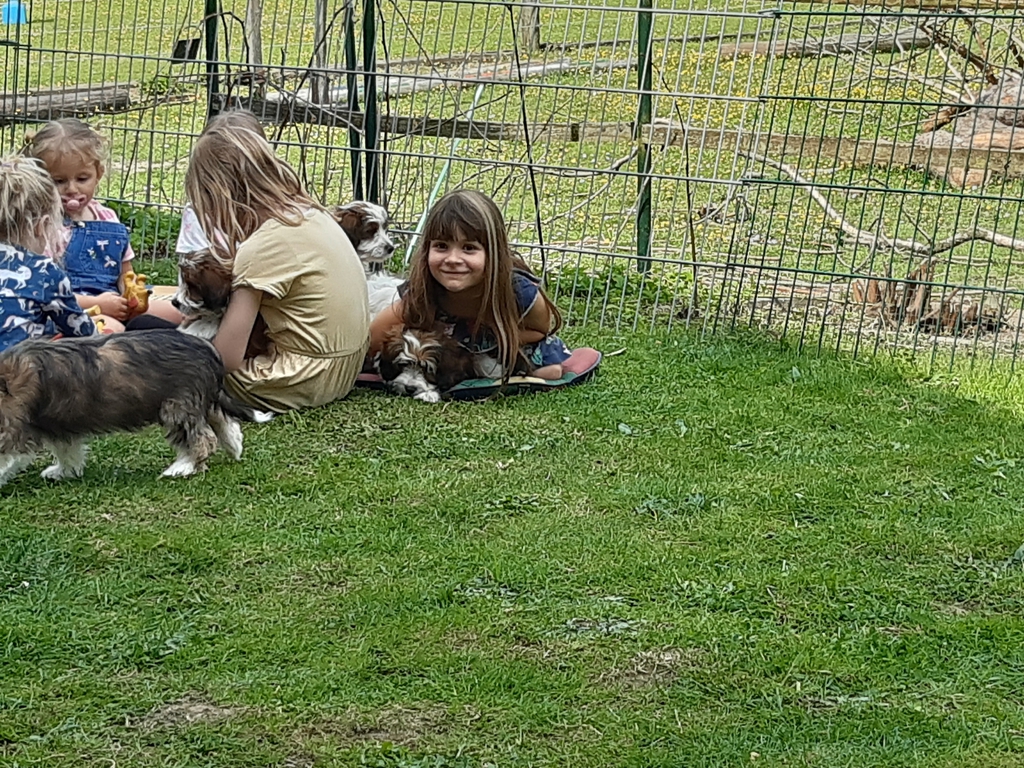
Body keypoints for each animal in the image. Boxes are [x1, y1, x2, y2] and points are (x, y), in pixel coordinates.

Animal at [0, 330, 271, 487]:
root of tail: (210, 350)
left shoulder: (13, 430)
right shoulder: (57, 424)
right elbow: (68, 449)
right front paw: (65, 471)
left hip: (177, 407)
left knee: (202, 438)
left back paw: (182, 468)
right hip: (198, 400)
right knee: (223, 421)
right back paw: (234, 446)